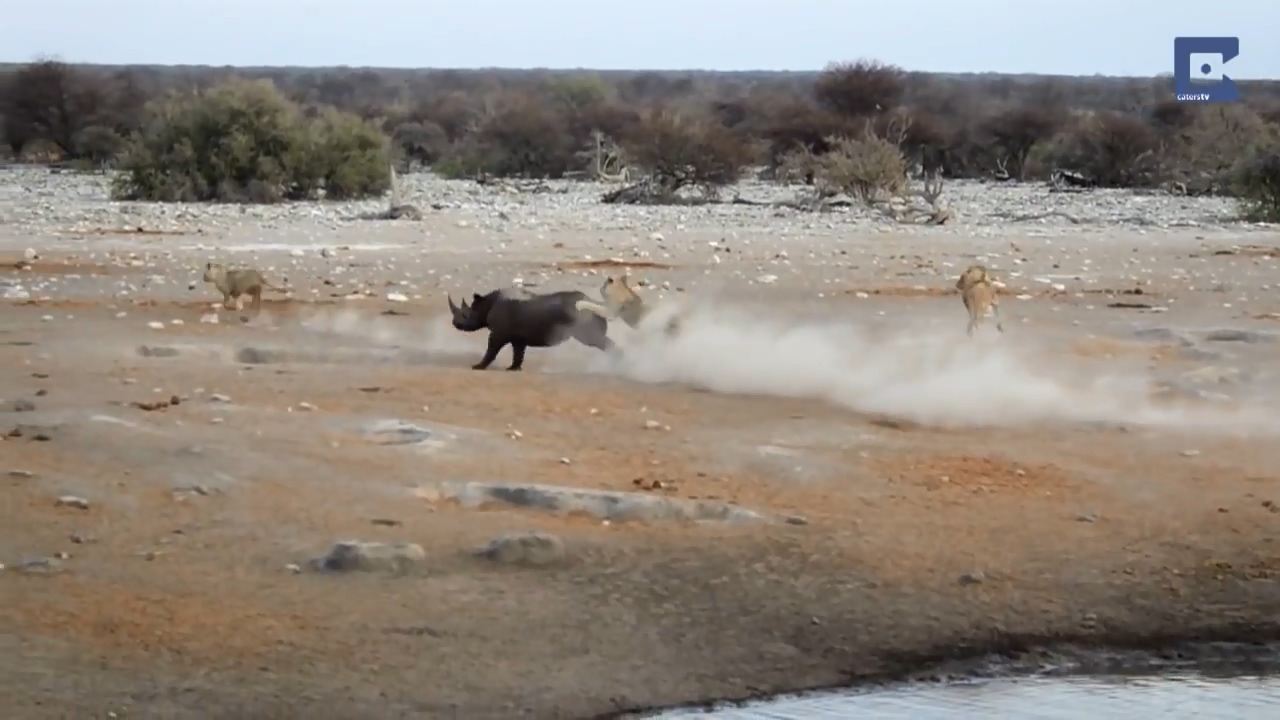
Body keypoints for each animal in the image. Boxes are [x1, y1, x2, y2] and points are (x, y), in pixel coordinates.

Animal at [448, 288, 615, 371]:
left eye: (465, 315)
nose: (454, 323)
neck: (486, 304)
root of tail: (593, 301)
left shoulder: (498, 333)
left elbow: (491, 349)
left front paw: (477, 367)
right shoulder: (517, 337)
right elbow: (518, 352)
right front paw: (513, 368)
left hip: (582, 316)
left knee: (594, 340)